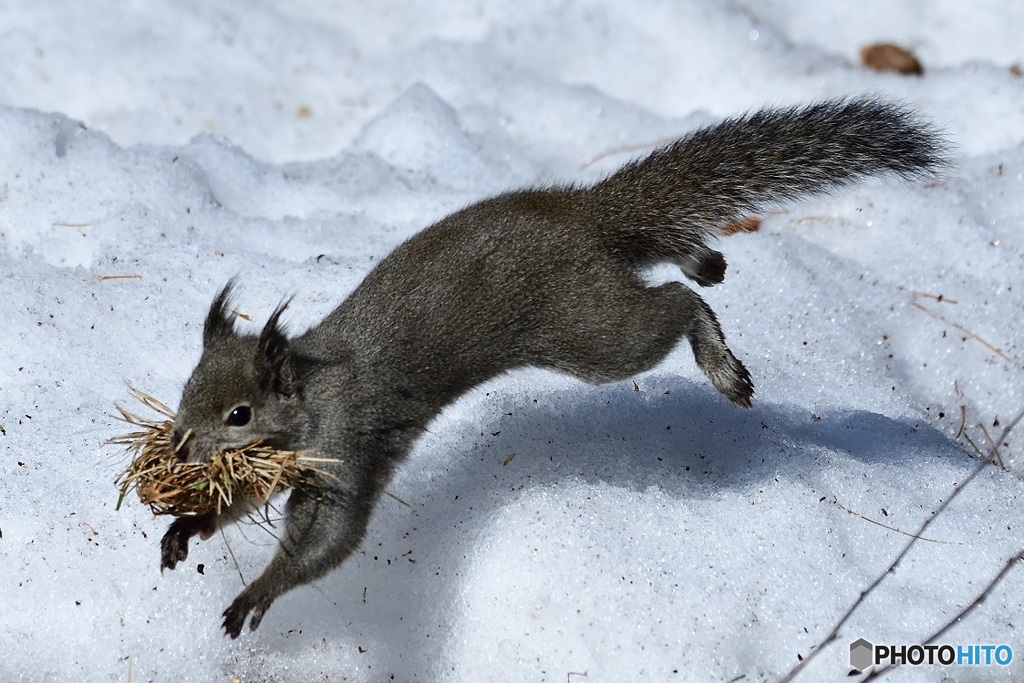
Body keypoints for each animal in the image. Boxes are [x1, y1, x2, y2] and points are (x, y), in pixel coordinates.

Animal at [155, 98, 946, 638]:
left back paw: (717, 353)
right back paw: (706, 260)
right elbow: (244, 503)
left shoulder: (347, 443)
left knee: (675, 305)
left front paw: (258, 592)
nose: (180, 446)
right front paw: (188, 527)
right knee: (678, 268)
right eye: (186, 391)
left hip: (590, 329)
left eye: (239, 414)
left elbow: (326, 537)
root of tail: (587, 215)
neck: (310, 395)